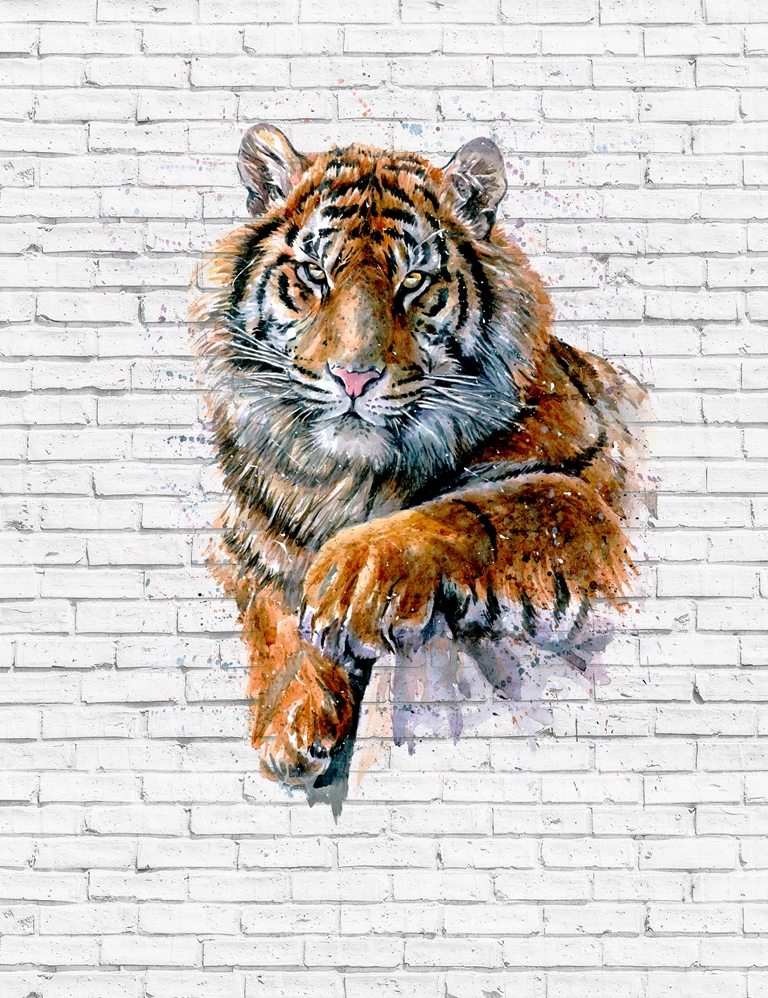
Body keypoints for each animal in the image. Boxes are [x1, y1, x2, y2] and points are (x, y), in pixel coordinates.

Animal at [192, 123, 643, 799]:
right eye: (314, 274)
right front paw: (290, 722)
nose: (353, 377)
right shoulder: (247, 543)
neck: (346, 479)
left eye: (413, 282)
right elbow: (272, 611)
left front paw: (349, 577)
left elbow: (476, 508)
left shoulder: (587, 492)